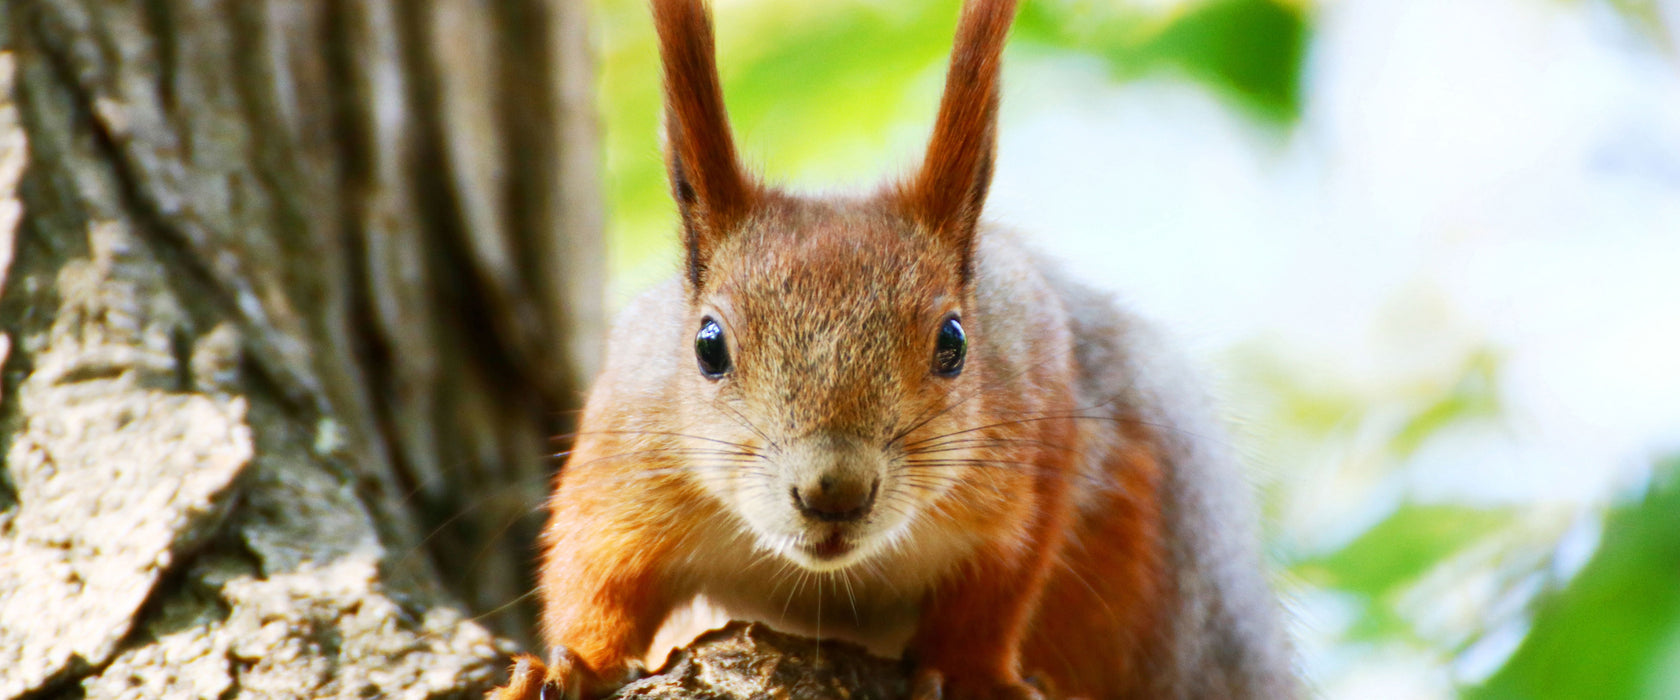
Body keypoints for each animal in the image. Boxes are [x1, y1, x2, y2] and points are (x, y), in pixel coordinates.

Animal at [487, 0, 1296, 694]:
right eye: (708, 346)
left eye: (954, 341)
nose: (834, 492)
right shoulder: (627, 453)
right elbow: (597, 578)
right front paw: (571, 666)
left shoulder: (1036, 434)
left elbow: (995, 593)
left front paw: (974, 677)